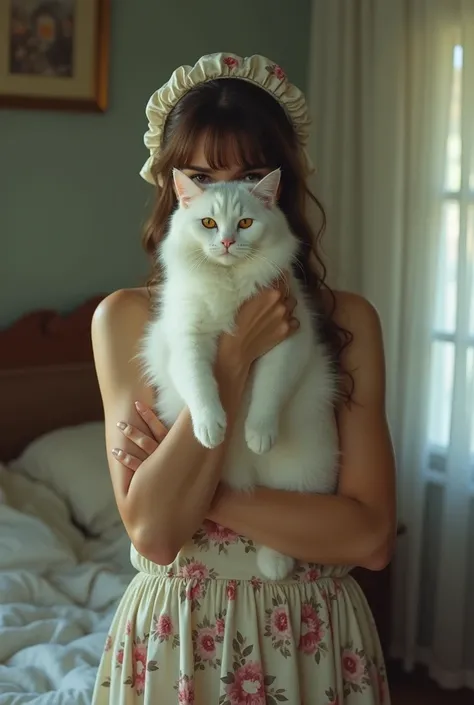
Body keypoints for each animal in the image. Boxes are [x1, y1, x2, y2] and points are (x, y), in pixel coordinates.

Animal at [139, 169, 338, 576]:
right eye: (208, 224)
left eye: (245, 223)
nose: (228, 242)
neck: (229, 284)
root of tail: (248, 476)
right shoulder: (188, 340)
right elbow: (201, 386)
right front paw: (211, 429)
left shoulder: (286, 345)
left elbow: (267, 394)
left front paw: (257, 433)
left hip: (301, 472)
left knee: (285, 520)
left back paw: (275, 564)